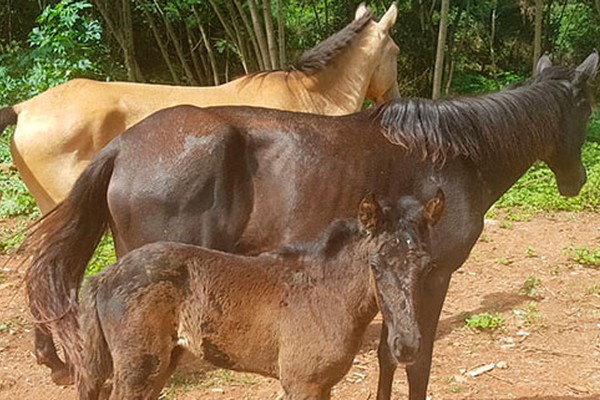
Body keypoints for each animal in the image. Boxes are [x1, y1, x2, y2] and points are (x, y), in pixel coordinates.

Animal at [72, 192, 442, 398]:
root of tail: (104, 276)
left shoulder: (323, 386)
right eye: (375, 265)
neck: (325, 294)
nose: (407, 345)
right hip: (138, 367)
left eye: (426, 266)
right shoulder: (301, 384)